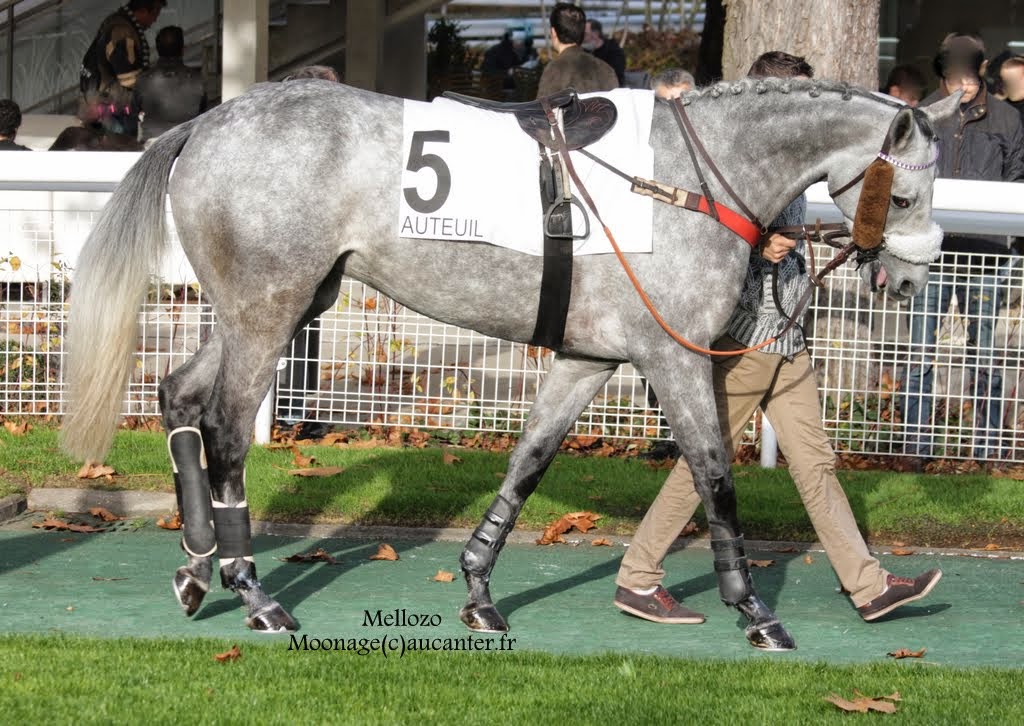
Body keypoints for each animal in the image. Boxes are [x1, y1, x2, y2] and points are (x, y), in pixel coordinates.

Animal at [59, 80, 954, 651]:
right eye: (906, 196)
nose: (911, 280)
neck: (681, 181)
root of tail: (206, 124)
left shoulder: (589, 356)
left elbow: (529, 460)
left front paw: (479, 592)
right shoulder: (672, 356)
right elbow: (713, 474)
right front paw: (754, 611)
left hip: (283, 303)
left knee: (179, 396)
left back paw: (196, 570)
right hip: (266, 311)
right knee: (224, 430)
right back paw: (254, 592)